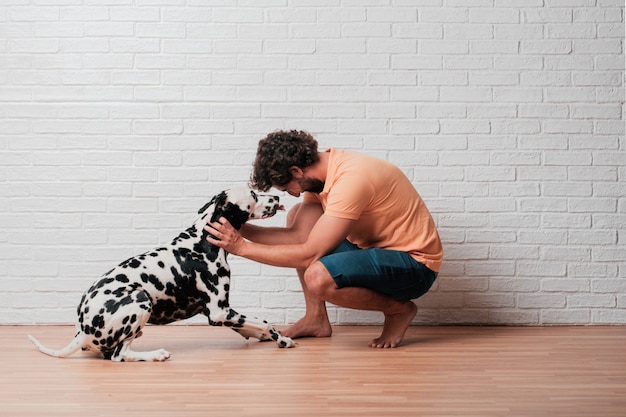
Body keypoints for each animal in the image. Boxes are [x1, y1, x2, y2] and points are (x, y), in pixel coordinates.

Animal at [30, 186, 298, 360]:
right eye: (254, 194)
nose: (276, 196)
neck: (202, 240)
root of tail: (82, 331)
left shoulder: (219, 312)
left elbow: (249, 326)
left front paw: (268, 336)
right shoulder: (220, 311)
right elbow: (265, 322)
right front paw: (281, 339)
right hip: (140, 299)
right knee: (120, 355)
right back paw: (156, 355)